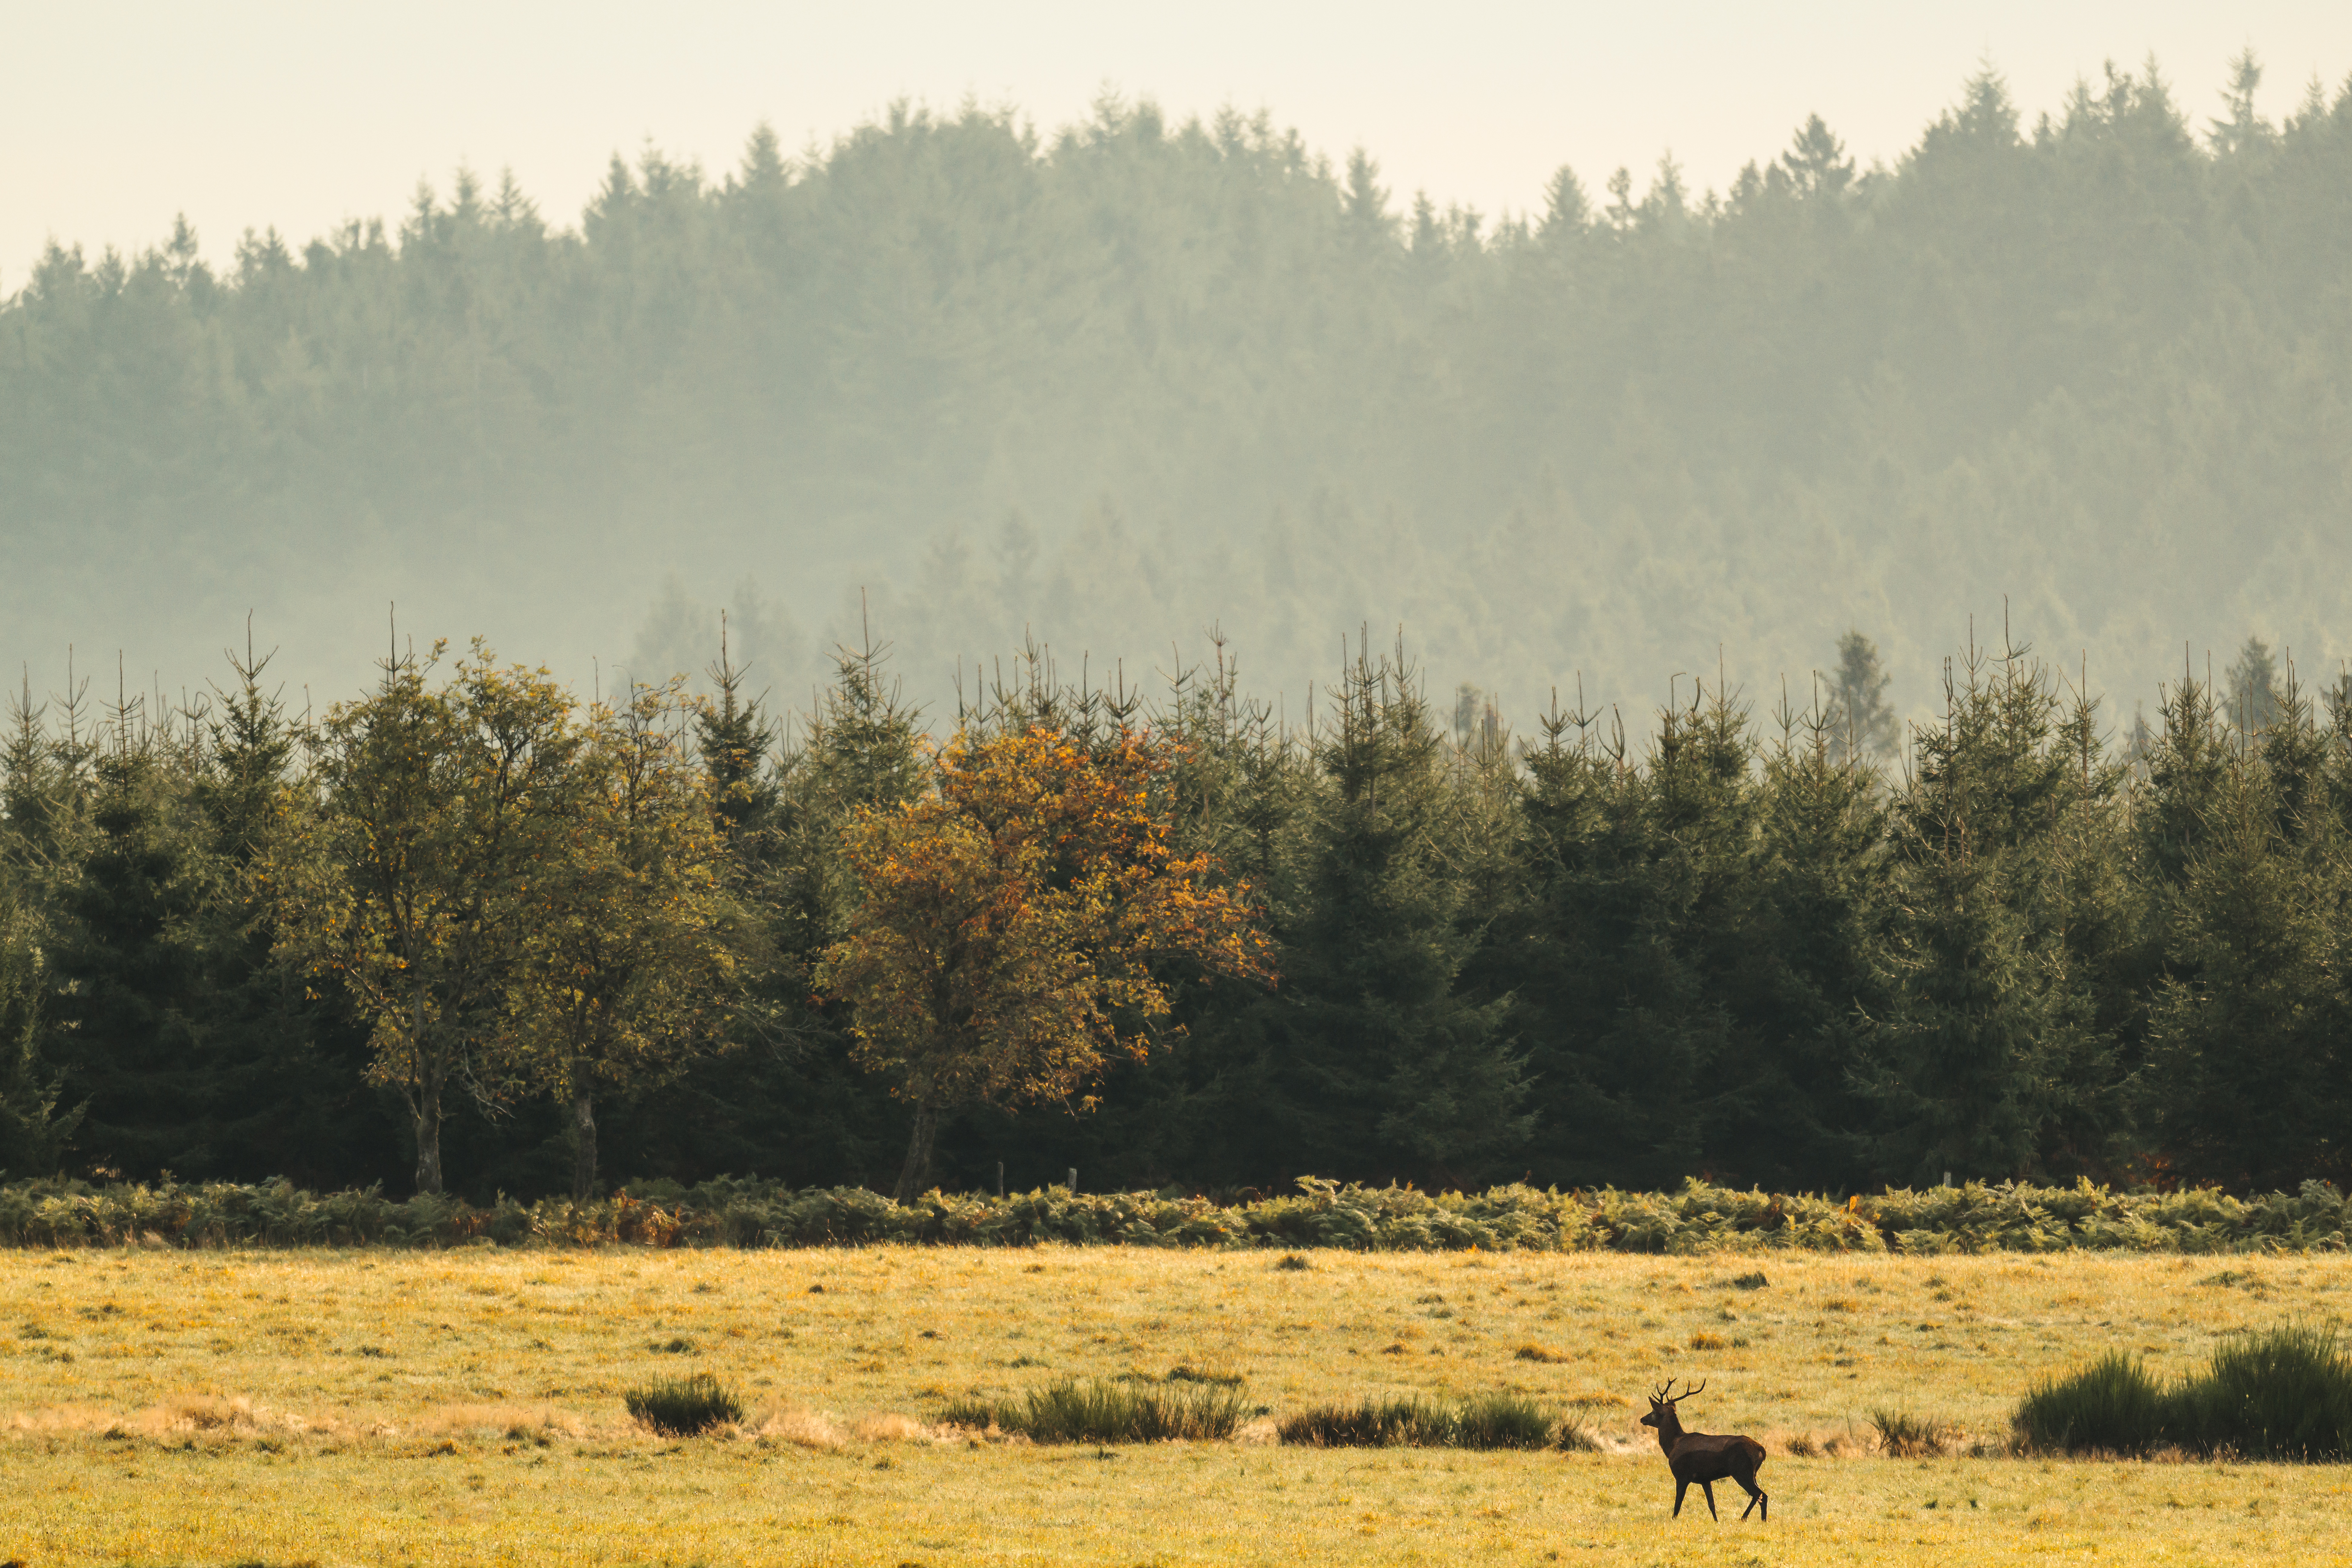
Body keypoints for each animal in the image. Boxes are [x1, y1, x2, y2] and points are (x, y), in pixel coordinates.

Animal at [1639, 1378, 1768, 1522]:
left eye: (1653, 1412)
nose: (1643, 1419)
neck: (1673, 1445)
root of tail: (1762, 1451)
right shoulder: (1705, 1479)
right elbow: (1712, 1504)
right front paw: (1717, 1521)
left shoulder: (1682, 1475)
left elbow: (1678, 1504)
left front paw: (1673, 1520)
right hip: (1753, 1474)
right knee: (1759, 1495)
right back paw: (1749, 1518)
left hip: (1742, 1471)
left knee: (1761, 1495)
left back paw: (1756, 1519)